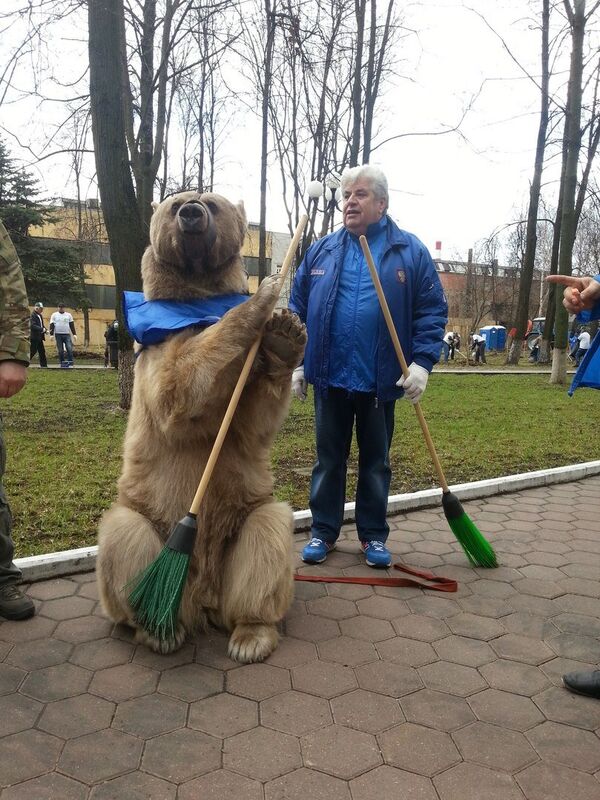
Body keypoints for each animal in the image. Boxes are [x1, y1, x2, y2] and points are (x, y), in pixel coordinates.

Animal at [96, 191, 307, 663]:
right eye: (175, 204)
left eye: (211, 201)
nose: (192, 213)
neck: (195, 302)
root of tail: (202, 601)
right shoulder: (155, 347)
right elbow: (177, 392)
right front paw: (264, 295)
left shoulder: (247, 381)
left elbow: (253, 421)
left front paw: (285, 332)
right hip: (152, 522)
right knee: (124, 536)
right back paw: (157, 629)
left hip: (239, 525)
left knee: (267, 535)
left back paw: (250, 635)